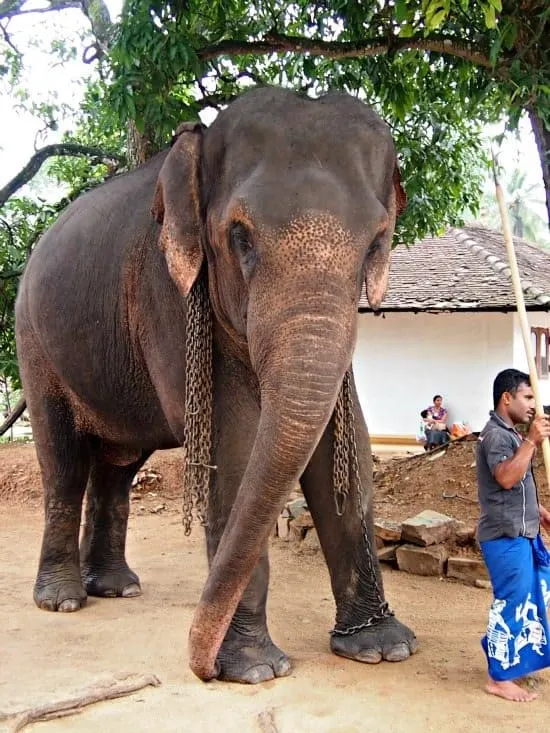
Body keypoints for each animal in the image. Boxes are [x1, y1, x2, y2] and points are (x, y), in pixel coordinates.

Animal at [14, 86, 418, 680]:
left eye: (375, 243)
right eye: (239, 237)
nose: (198, 665)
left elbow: (345, 447)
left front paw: (382, 648)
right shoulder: (167, 296)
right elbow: (233, 444)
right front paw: (252, 669)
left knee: (117, 466)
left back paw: (116, 588)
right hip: (36, 343)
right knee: (63, 461)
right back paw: (63, 600)